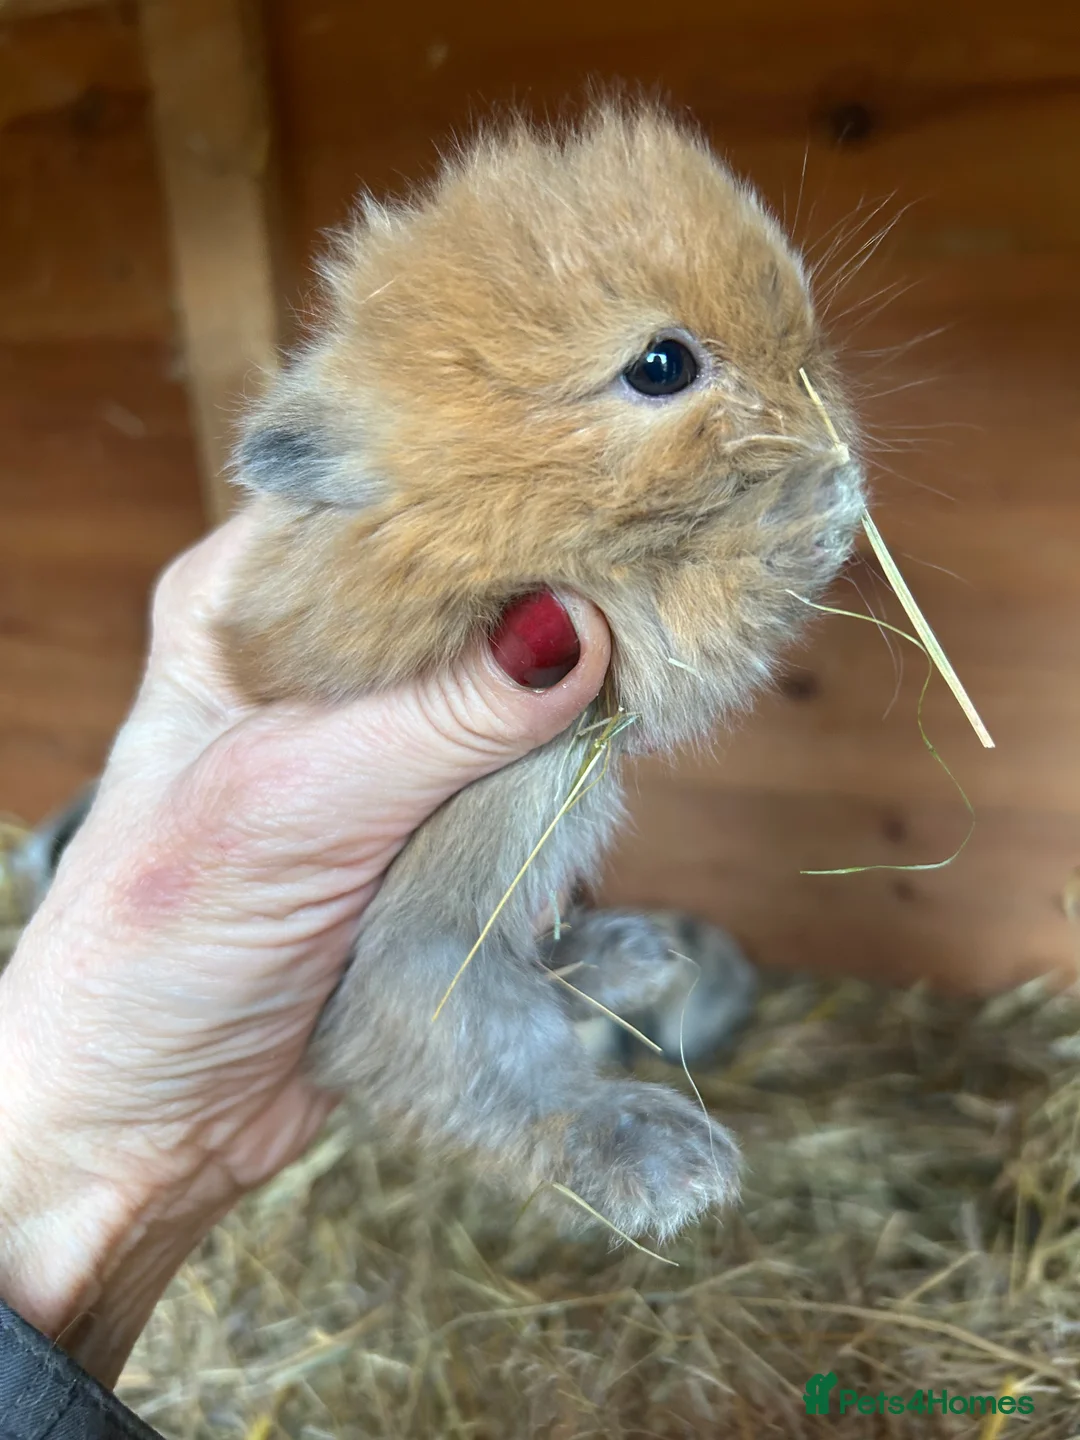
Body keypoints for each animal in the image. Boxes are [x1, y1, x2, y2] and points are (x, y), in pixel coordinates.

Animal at [212, 100, 866, 1243]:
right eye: (661, 365)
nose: (819, 390)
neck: (489, 490)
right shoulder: (614, 625)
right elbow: (732, 600)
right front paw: (824, 495)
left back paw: (634, 958)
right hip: (441, 982)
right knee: (495, 1088)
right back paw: (662, 1159)